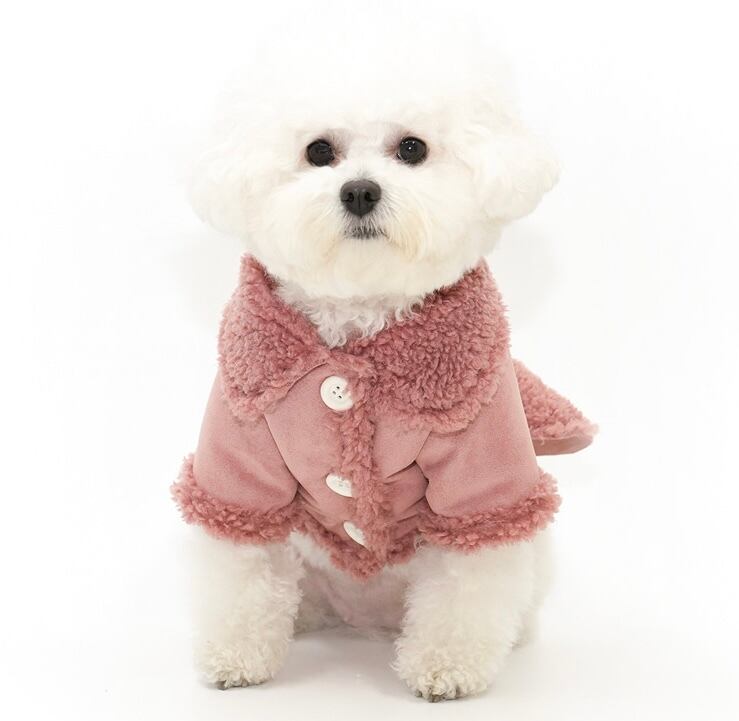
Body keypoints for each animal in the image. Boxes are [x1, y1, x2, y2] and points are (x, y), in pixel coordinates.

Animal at [173, 29, 593, 701]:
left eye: (412, 148)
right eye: (319, 151)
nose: (360, 191)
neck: (357, 324)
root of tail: (363, 618)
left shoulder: (480, 467)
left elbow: (469, 574)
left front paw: (445, 667)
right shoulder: (242, 447)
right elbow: (241, 560)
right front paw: (236, 656)